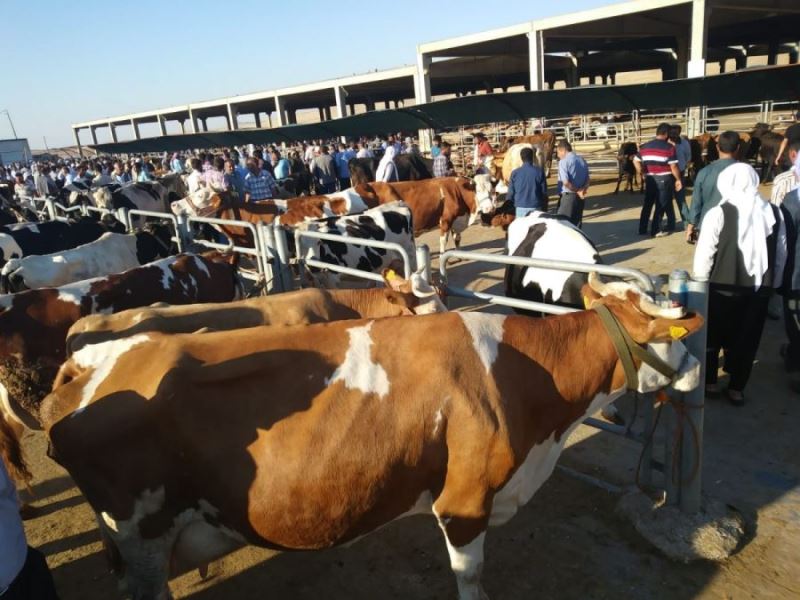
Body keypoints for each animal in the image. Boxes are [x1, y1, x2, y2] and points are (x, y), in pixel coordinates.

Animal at [43, 276, 700, 600]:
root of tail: (93, 364)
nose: (696, 369)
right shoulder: (464, 503)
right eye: (674, 336)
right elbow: (471, 581)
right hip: (142, 536)